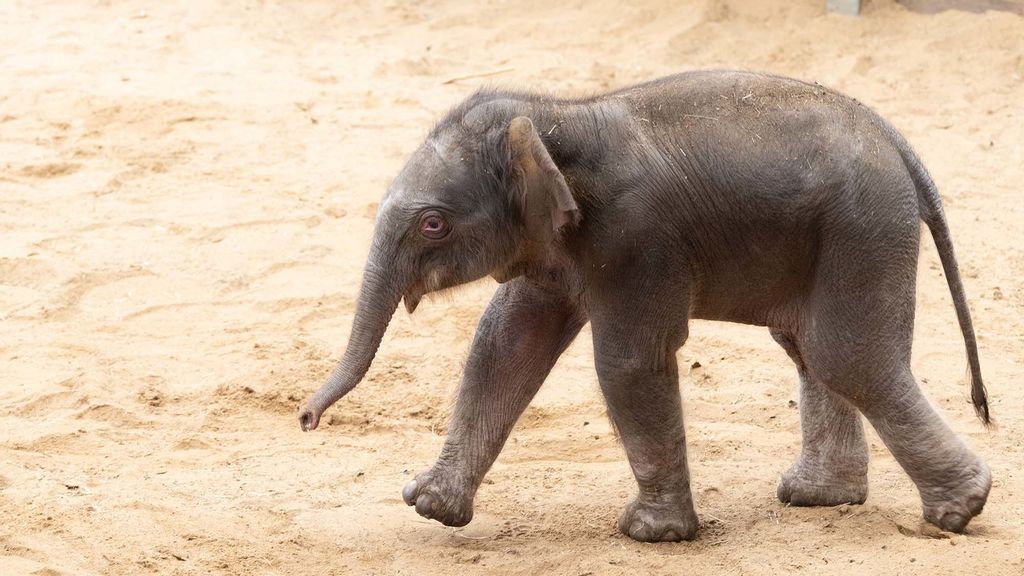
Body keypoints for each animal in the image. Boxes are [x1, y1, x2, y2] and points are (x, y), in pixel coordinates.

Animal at [297, 70, 992, 542]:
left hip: (862, 230)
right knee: (809, 350)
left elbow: (628, 362)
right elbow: (504, 344)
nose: (305, 420)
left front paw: (652, 535)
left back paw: (960, 510)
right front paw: (430, 507)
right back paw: (819, 498)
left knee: (847, 356)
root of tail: (898, 144)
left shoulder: (636, 238)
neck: (557, 116)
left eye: (434, 224)